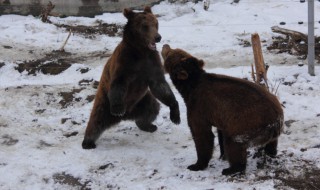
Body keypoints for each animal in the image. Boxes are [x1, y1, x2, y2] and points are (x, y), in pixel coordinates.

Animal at [81, 6, 181, 149]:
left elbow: (160, 86)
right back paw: (88, 142)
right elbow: (119, 82)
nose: (157, 37)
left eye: (156, 23)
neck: (140, 51)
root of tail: (126, 115)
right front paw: (118, 108)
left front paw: (175, 114)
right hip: (105, 101)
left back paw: (148, 125)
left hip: (141, 100)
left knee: (152, 107)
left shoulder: (152, 63)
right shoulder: (125, 62)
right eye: (145, 26)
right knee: (96, 120)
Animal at [161, 44, 284, 175]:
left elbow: (202, 134)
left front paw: (196, 165)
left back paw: (230, 169)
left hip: (247, 124)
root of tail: (276, 118)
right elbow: (219, 132)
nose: (165, 45)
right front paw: (222, 155)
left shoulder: (199, 108)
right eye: (175, 50)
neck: (189, 88)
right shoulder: (220, 114)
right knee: (272, 142)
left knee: (233, 142)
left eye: (170, 52)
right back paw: (270, 152)